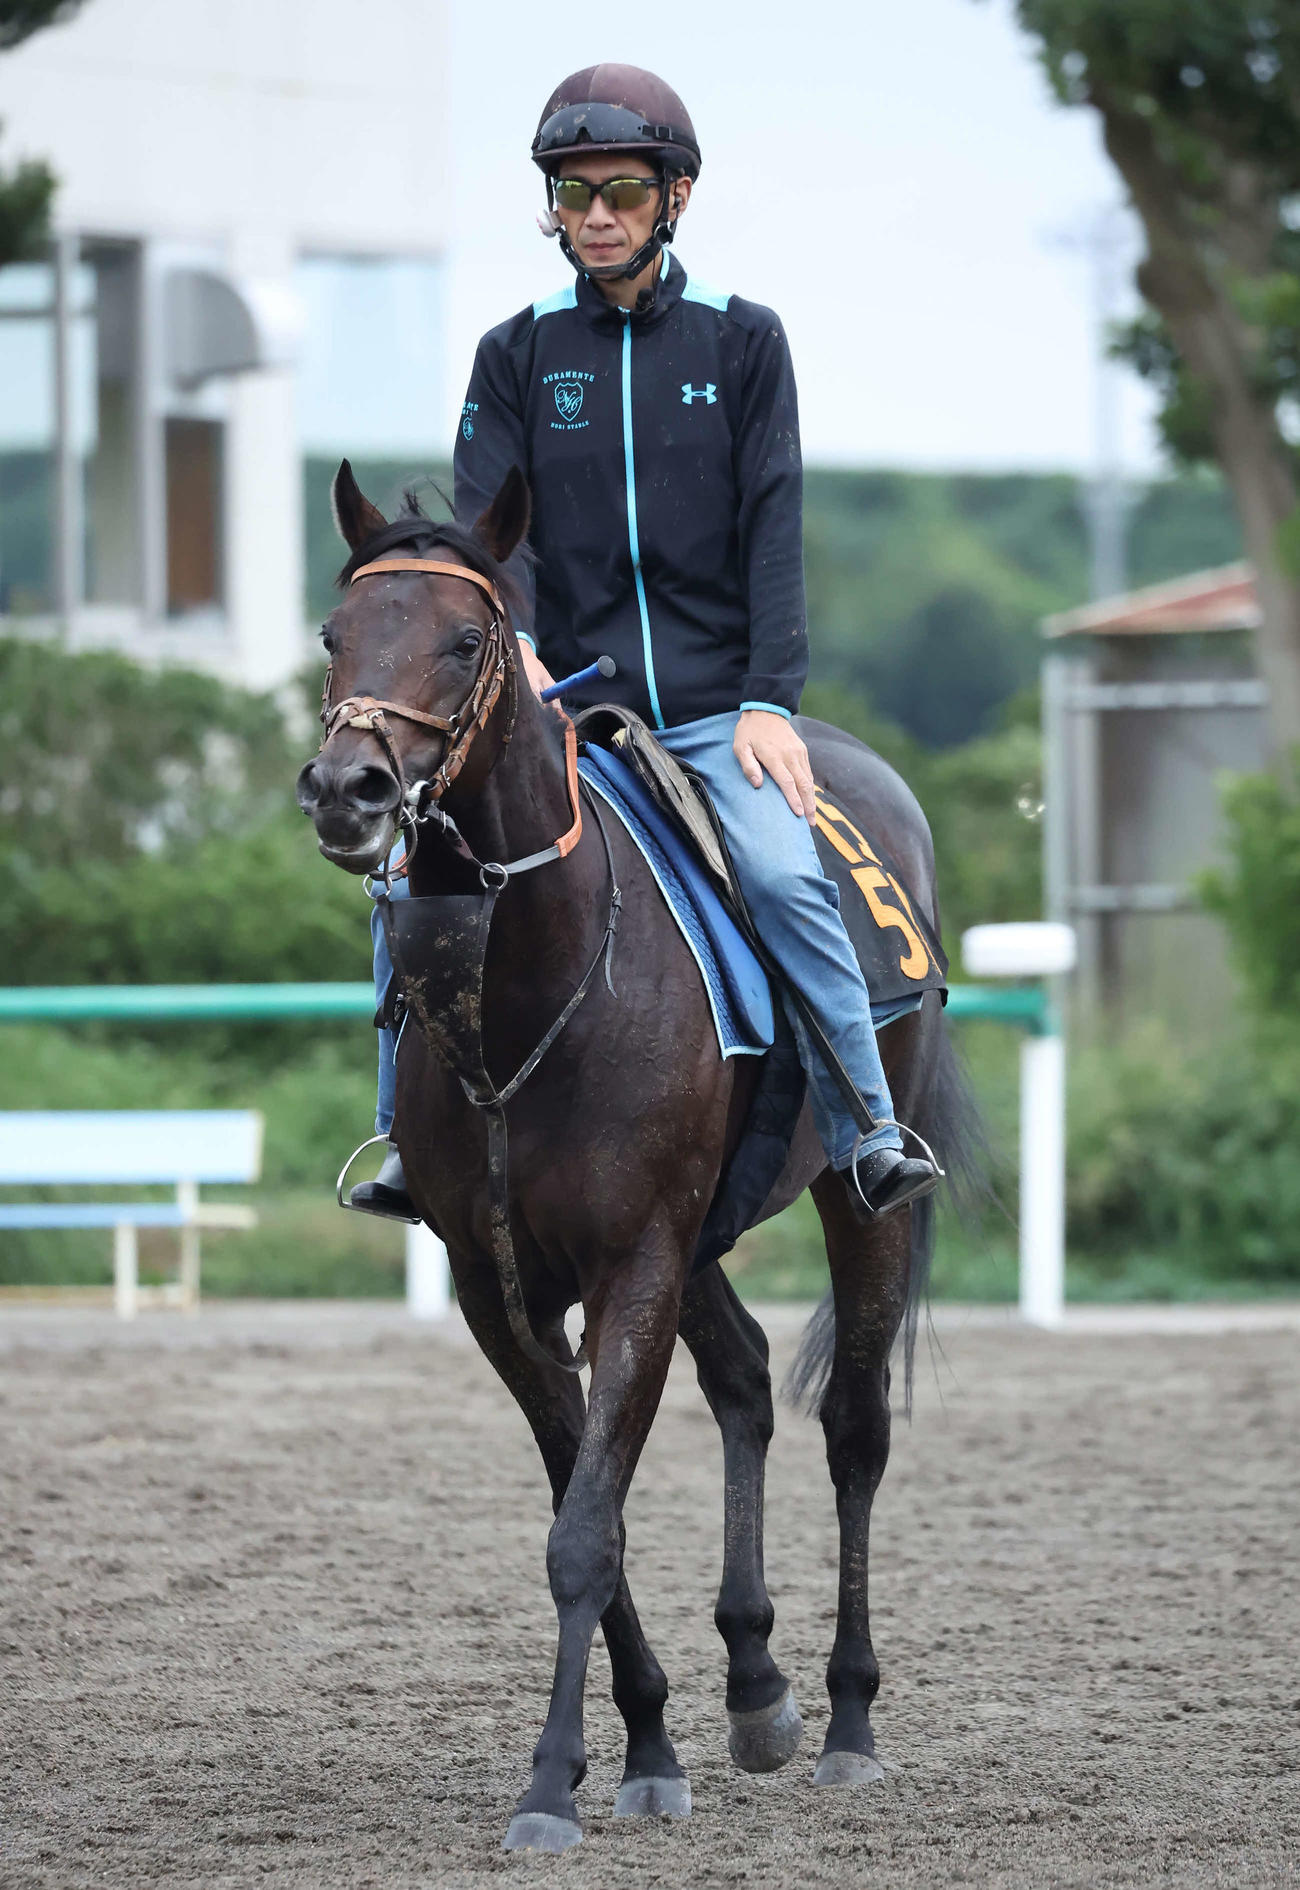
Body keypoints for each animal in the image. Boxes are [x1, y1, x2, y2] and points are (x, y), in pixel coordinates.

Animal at [295, 459, 979, 1853]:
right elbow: (583, 1505)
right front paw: (647, 1742)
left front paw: (552, 1782)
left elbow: (584, 1528)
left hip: (856, 1204)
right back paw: (755, 1681)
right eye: (334, 634)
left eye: (466, 639)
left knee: (853, 1425)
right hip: (702, 1231)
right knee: (746, 1378)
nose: (349, 789)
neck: (535, 982)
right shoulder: (503, 1288)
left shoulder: (634, 1266)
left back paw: (846, 1716)